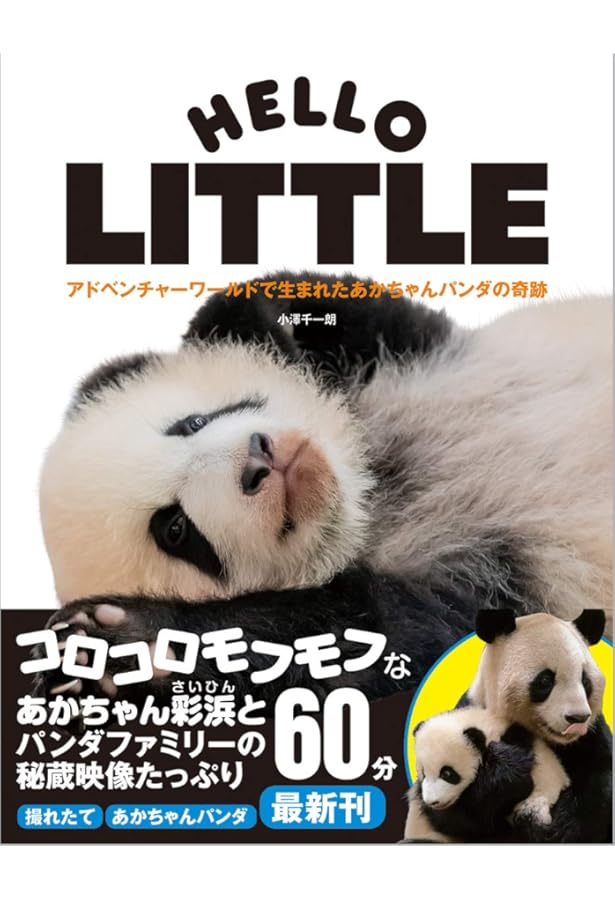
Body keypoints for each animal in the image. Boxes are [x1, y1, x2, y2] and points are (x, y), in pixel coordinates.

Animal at [36, 273, 612, 703]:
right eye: (175, 529)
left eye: (191, 423)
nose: (259, 460)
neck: (375, 499)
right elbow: (387, 635)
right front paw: (123, 648)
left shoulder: (413, 344)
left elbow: (332, 299)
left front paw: (254, 324)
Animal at [462, 607, 612, 842]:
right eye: (545, 680)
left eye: (585, 680)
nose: (577, 718)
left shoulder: (592, 736)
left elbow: (599, 781)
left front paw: (563, 828)